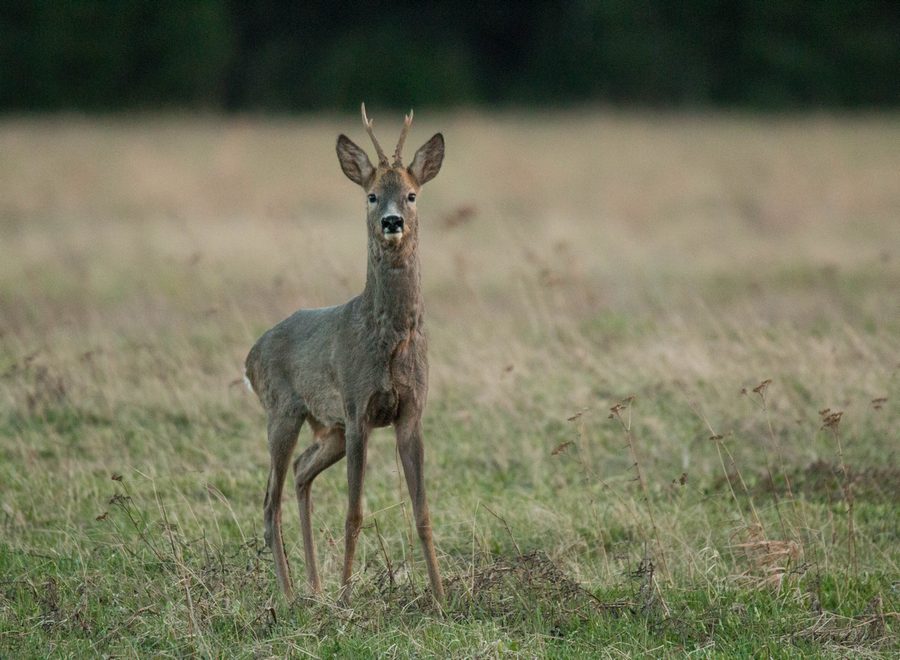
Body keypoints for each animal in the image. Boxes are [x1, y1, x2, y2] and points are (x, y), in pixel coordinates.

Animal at [244, 103, 444, 604]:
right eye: (372, 195)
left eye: (411, 195)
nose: (392, 222)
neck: (388, 341)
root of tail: (250, 355)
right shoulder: (358, 410)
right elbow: (354, 512)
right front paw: (348, 595)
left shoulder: (411, 411)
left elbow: (424, 513)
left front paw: (443, 597)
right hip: (283, 410)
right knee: (269, 500)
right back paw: (290, 594)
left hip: (326, 427)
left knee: (301, 472)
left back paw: (313, 585)